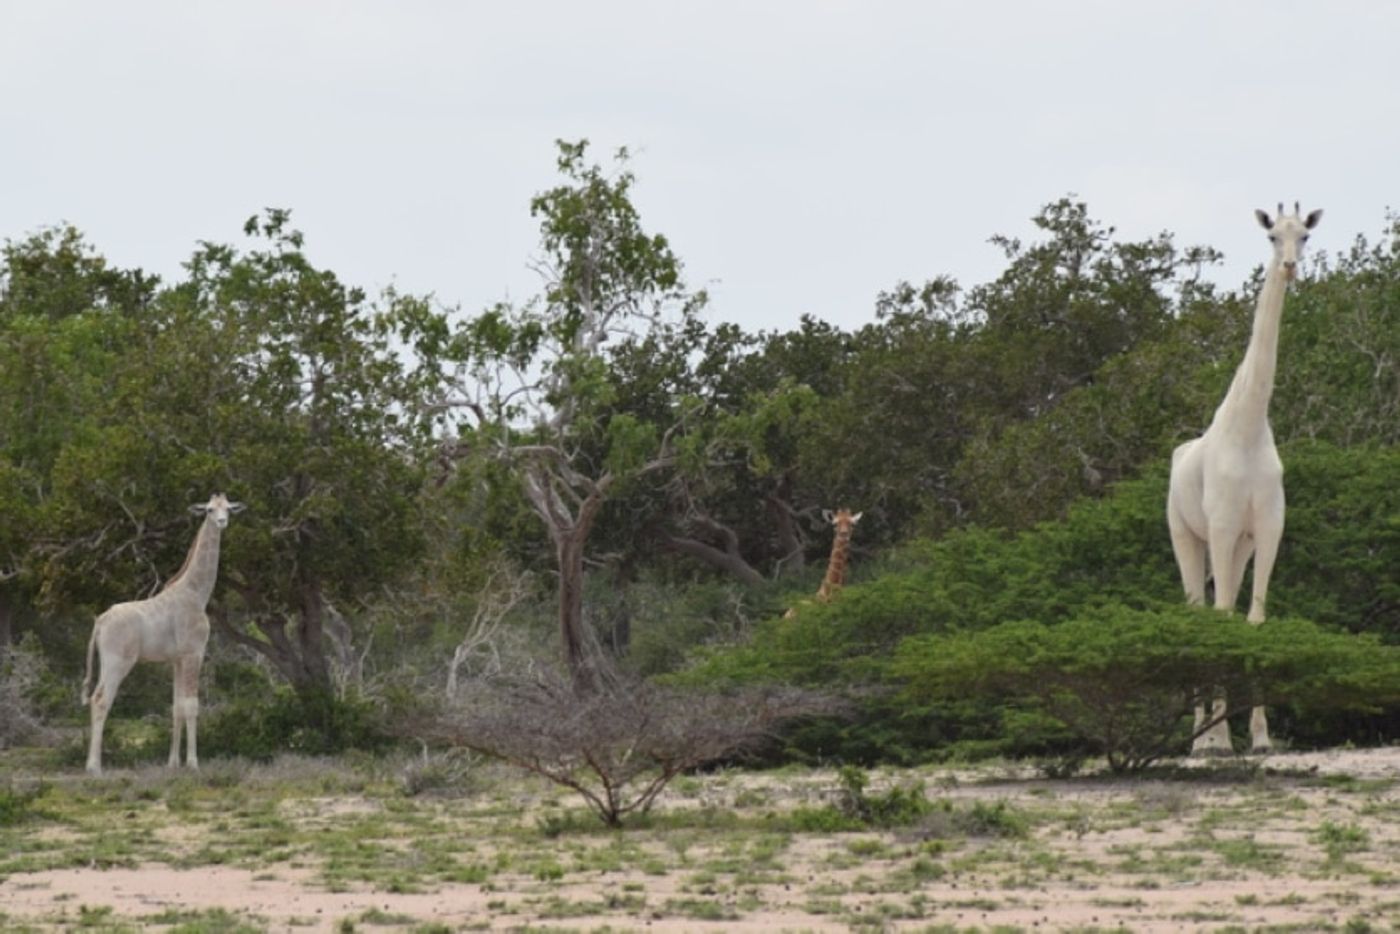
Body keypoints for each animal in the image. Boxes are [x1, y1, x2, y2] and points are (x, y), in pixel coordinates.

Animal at [80, 495, 243, 772]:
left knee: (94, 698)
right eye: (210, 510)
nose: (222, 522)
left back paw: (94, 764)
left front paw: (173, 763)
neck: (198, 594)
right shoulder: (193, 652)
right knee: (101, 700)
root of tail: (100, 622)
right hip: (118, 661)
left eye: (229, 508)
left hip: (105, 660)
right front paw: (193, 763)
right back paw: (94, 768)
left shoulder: (176, 659)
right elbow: (192, 705)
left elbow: (176, 707)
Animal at [1170, 201, 1321, 756]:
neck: (1249, 426)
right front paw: (1214, 740)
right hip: (1187, 534)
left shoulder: (1267, 528)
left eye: (1305, 236)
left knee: (1227, 607)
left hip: (1239, 545)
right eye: (1272, 236)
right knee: (1199, 609)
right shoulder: (1220, 527)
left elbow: (1253, 619)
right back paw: (1200, 738)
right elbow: (1216, 618)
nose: (1290, 267)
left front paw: (1259, 736)